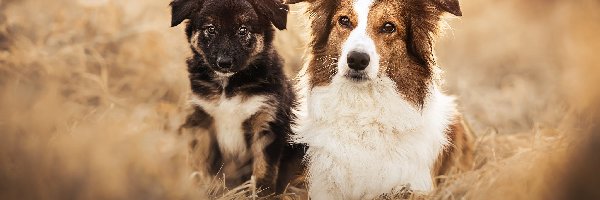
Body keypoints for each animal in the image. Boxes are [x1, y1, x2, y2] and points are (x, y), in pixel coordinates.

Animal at [172, 0, 308, 195]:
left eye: (243, 30)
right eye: (211, 29)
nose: (224, 63)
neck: (228, 88)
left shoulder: (267, 122)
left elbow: (263, 169)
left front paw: (261, 194)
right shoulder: (201, 119)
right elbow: (200, 164)